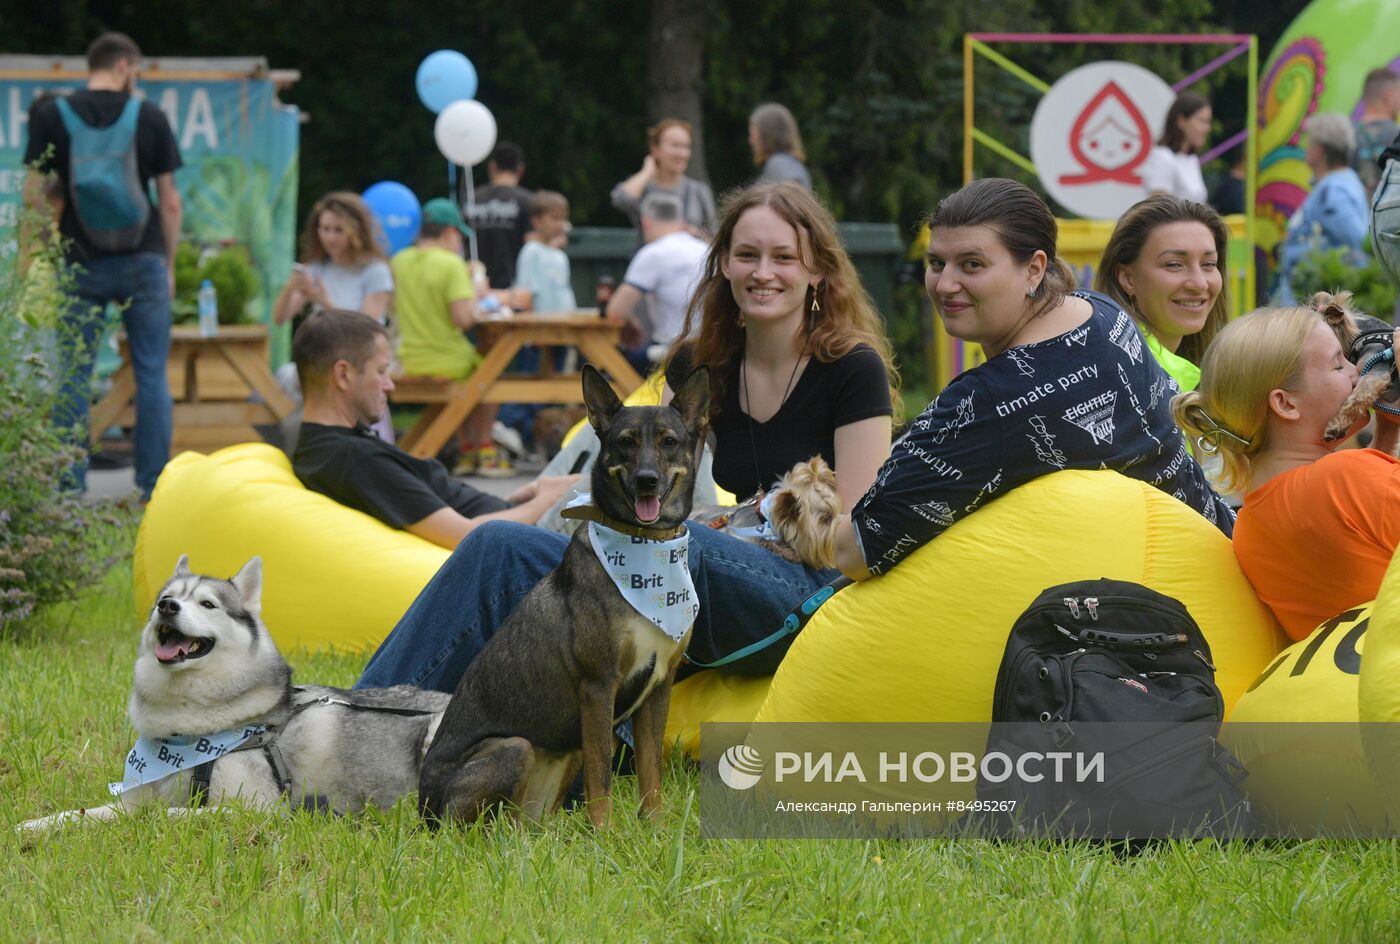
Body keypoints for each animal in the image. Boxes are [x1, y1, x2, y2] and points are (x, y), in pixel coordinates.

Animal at [20, 554, 448, 834]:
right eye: (166, 597)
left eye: (207, 604)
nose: (167, 606)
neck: (186, 732)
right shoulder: (132, 798)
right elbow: (81, 813)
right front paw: (37, 824)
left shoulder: (263, 809)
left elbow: (169, 814)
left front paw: (158, 820)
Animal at [408, 361, 705, 823]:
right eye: (624, 442)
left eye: (670, 442)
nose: (647, 481)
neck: (646, 551)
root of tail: (423, 806)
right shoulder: (599, 685)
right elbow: (602, 780)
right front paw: (605, 833)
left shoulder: (658, 687)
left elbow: (651, 773)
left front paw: (654, 829)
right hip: (514, 748)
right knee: (468, 826)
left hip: (561, 761)